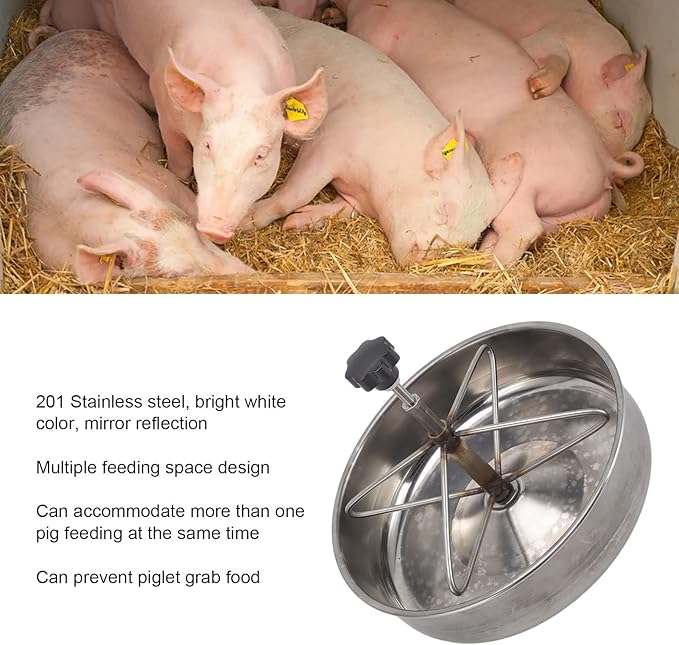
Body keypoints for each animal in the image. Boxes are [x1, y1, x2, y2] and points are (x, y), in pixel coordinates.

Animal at [33, 0, 328, 242]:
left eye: (261, 155)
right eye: (207, 145)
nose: (213, 228)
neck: (243, 77)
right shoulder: (163, 105)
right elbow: (181, 162)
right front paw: (180, 176)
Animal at [246, 8, 524, 266]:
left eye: (473, 237)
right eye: (444, 211)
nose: (426, 259)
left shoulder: (356, 199)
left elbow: (340, 209)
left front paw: (296, 222)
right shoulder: (327, 142)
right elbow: (294, 194)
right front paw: (249, 220)